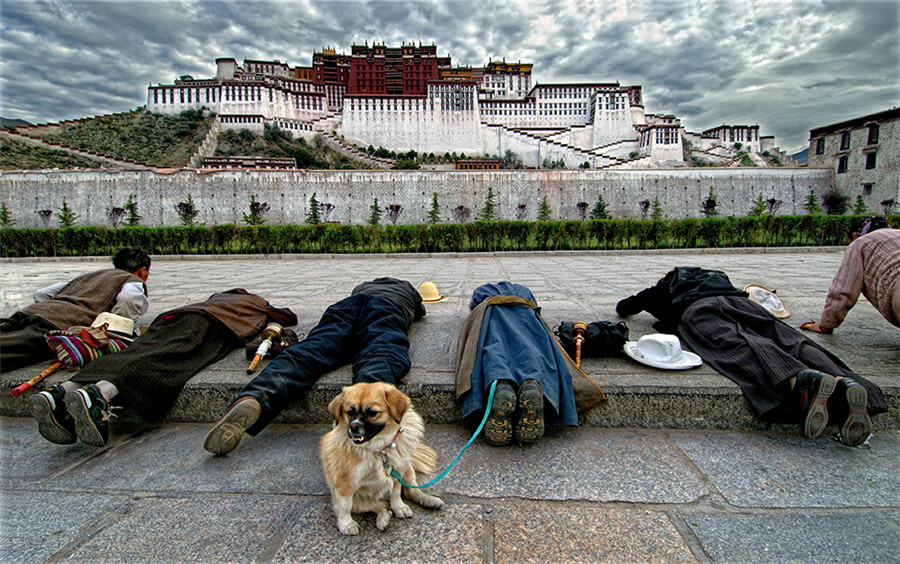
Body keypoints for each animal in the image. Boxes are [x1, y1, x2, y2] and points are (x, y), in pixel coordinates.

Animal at [318, 382, 444, 536]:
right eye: (350, 412)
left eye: (372, 412)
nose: (353, 426)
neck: (378, 448)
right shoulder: (345, 482)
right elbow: (344, 507)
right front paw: (346, 524)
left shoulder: (397, 472)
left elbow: (396, 493)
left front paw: (399, 508)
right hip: (361, 501)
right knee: (381, 506)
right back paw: (383, 520)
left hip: (407, 469)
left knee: (411, 491)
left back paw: (429, 501)